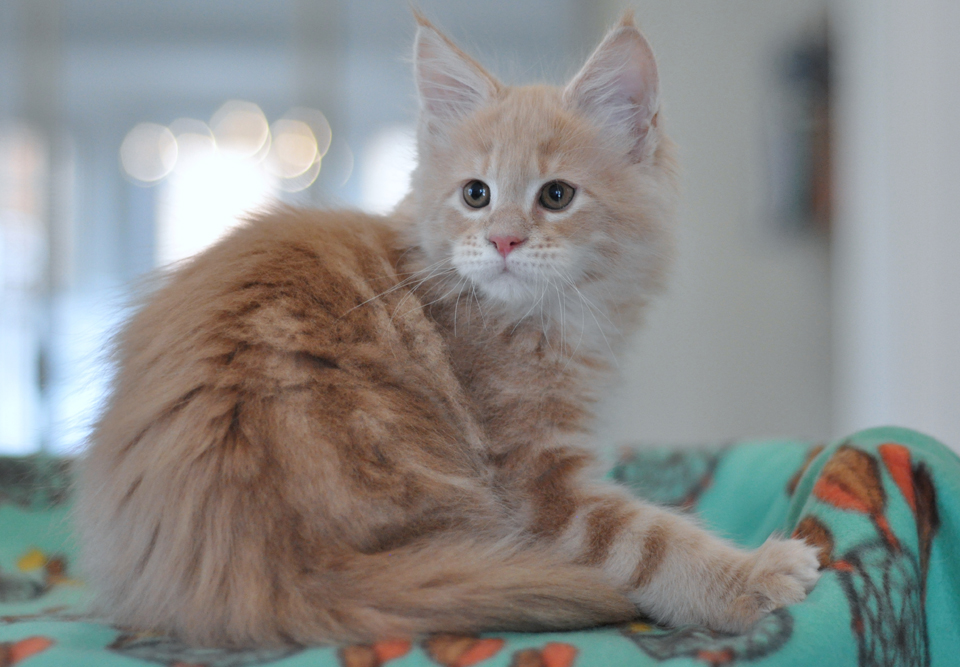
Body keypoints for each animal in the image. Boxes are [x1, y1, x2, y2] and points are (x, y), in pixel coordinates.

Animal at [75, 13, 816, 648]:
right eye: (475, 194)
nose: (504, 240)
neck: (540, 319)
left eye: (556, 196)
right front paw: (759, 575)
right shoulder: (537, 485)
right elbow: (649, 542)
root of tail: (263, 577)